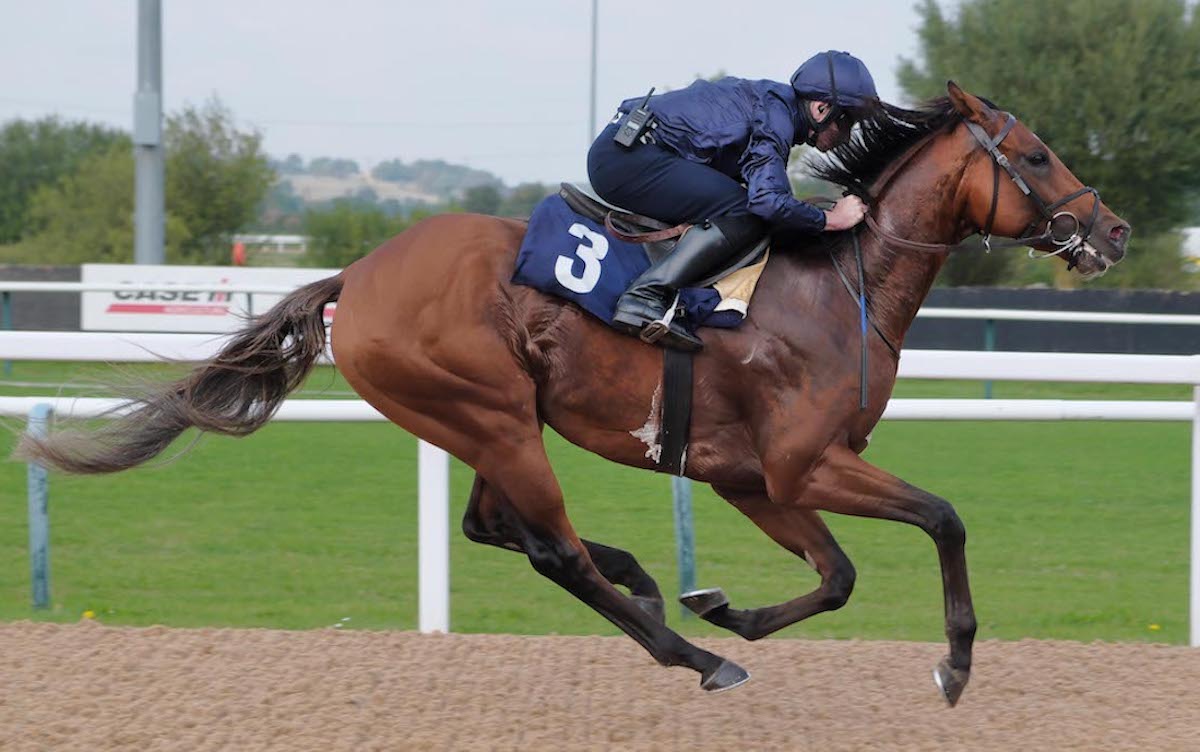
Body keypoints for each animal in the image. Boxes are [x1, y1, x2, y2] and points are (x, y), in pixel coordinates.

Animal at [16, 82, 1123, 705]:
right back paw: (687, 652)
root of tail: (357, 276)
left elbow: (840, 573)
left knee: (496, 527)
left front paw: (724, 602)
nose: (1108, 231)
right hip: (494, 415)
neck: (836, 285)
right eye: (1035, 154)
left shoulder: (752, 477)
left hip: (480, 421)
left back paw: (651, 586)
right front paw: (955, 665)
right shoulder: (802, 462)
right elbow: (942, 518)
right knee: (549, 549)